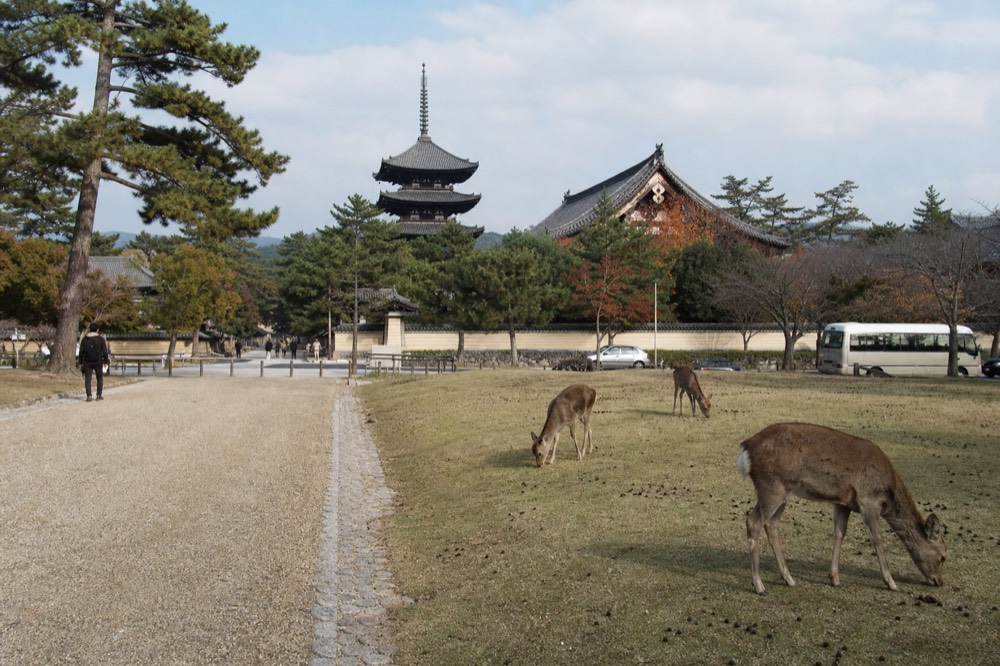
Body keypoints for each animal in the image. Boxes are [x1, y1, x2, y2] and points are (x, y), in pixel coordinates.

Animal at [736, 422, 946, 595]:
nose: (939, 581)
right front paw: (891, 583)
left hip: (782, 491)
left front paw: (834, 578)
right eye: (943, 556)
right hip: (772, 485)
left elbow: (839, 533)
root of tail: (745, 448)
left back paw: (789, 579)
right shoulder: (868, 500)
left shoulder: (843, 503)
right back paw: (759, 585)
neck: (889, 490)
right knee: (753, 521)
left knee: (771, 524)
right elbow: (877, 538)